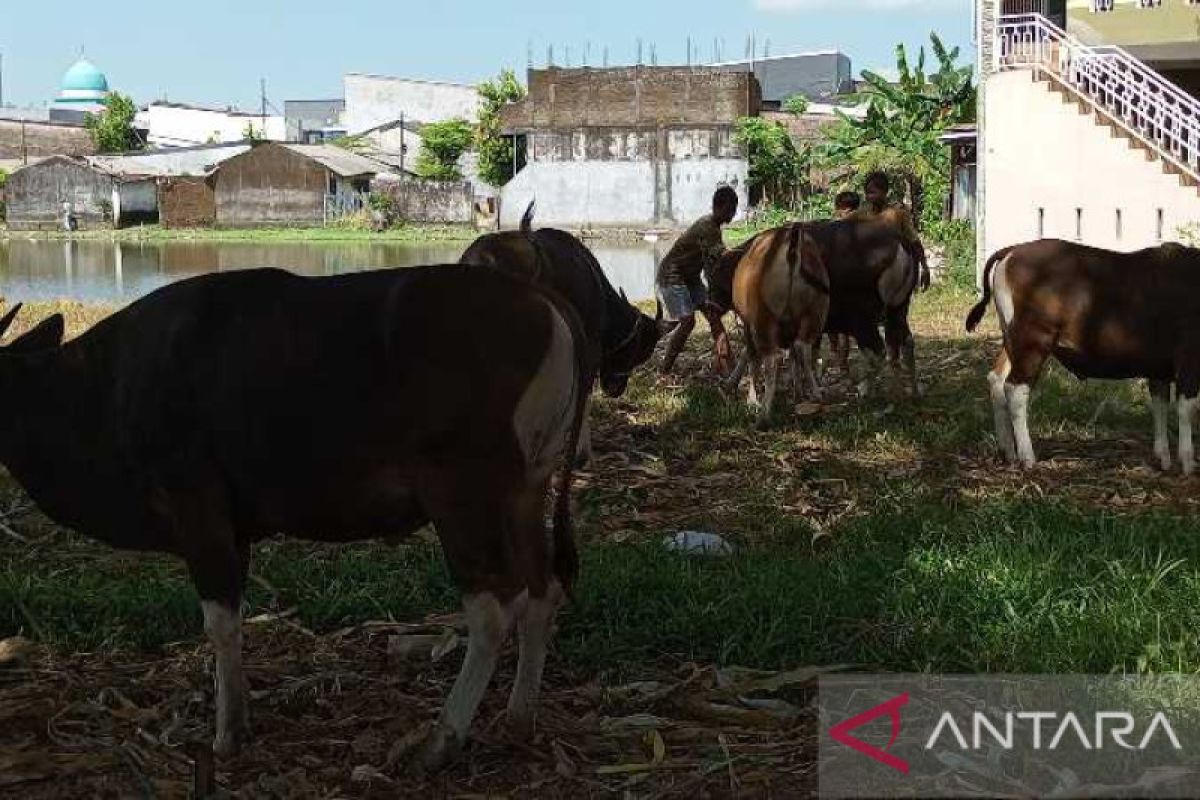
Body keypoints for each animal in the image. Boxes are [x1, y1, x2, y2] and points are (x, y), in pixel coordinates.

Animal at [0, 266, 585, 772]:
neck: (103, 388)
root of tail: (540, 299)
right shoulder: (234, 533)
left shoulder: (199, 514)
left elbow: (220, 624)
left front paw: (227, 733)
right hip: (526, 492)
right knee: (542, 591)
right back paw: (518, 718)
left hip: (462, 496)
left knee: (494, 609)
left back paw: (440, 740)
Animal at [715, 221, 830, 429]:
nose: (710, 303)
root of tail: (792, 244)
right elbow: (792, 357)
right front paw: (798, 392)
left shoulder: (748, 323)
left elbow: (750, 356)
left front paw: (750, 399)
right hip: (815, 313)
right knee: (802, 348)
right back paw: (815, 395)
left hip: (764, 321)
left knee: (771, 360)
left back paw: (764, 416)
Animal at [969, 237, 1200, 474]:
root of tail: (1012, 251)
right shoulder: (1189, 361)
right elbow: (1187, 409)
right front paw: (1188, 461)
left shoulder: (1158, 368)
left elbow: (1160, 406)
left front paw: (1163, 457)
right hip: (1033, 341)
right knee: (1015, 389)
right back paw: (1027, 457)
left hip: (1012, 341)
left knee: (997, 380)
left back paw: (1007, 451)